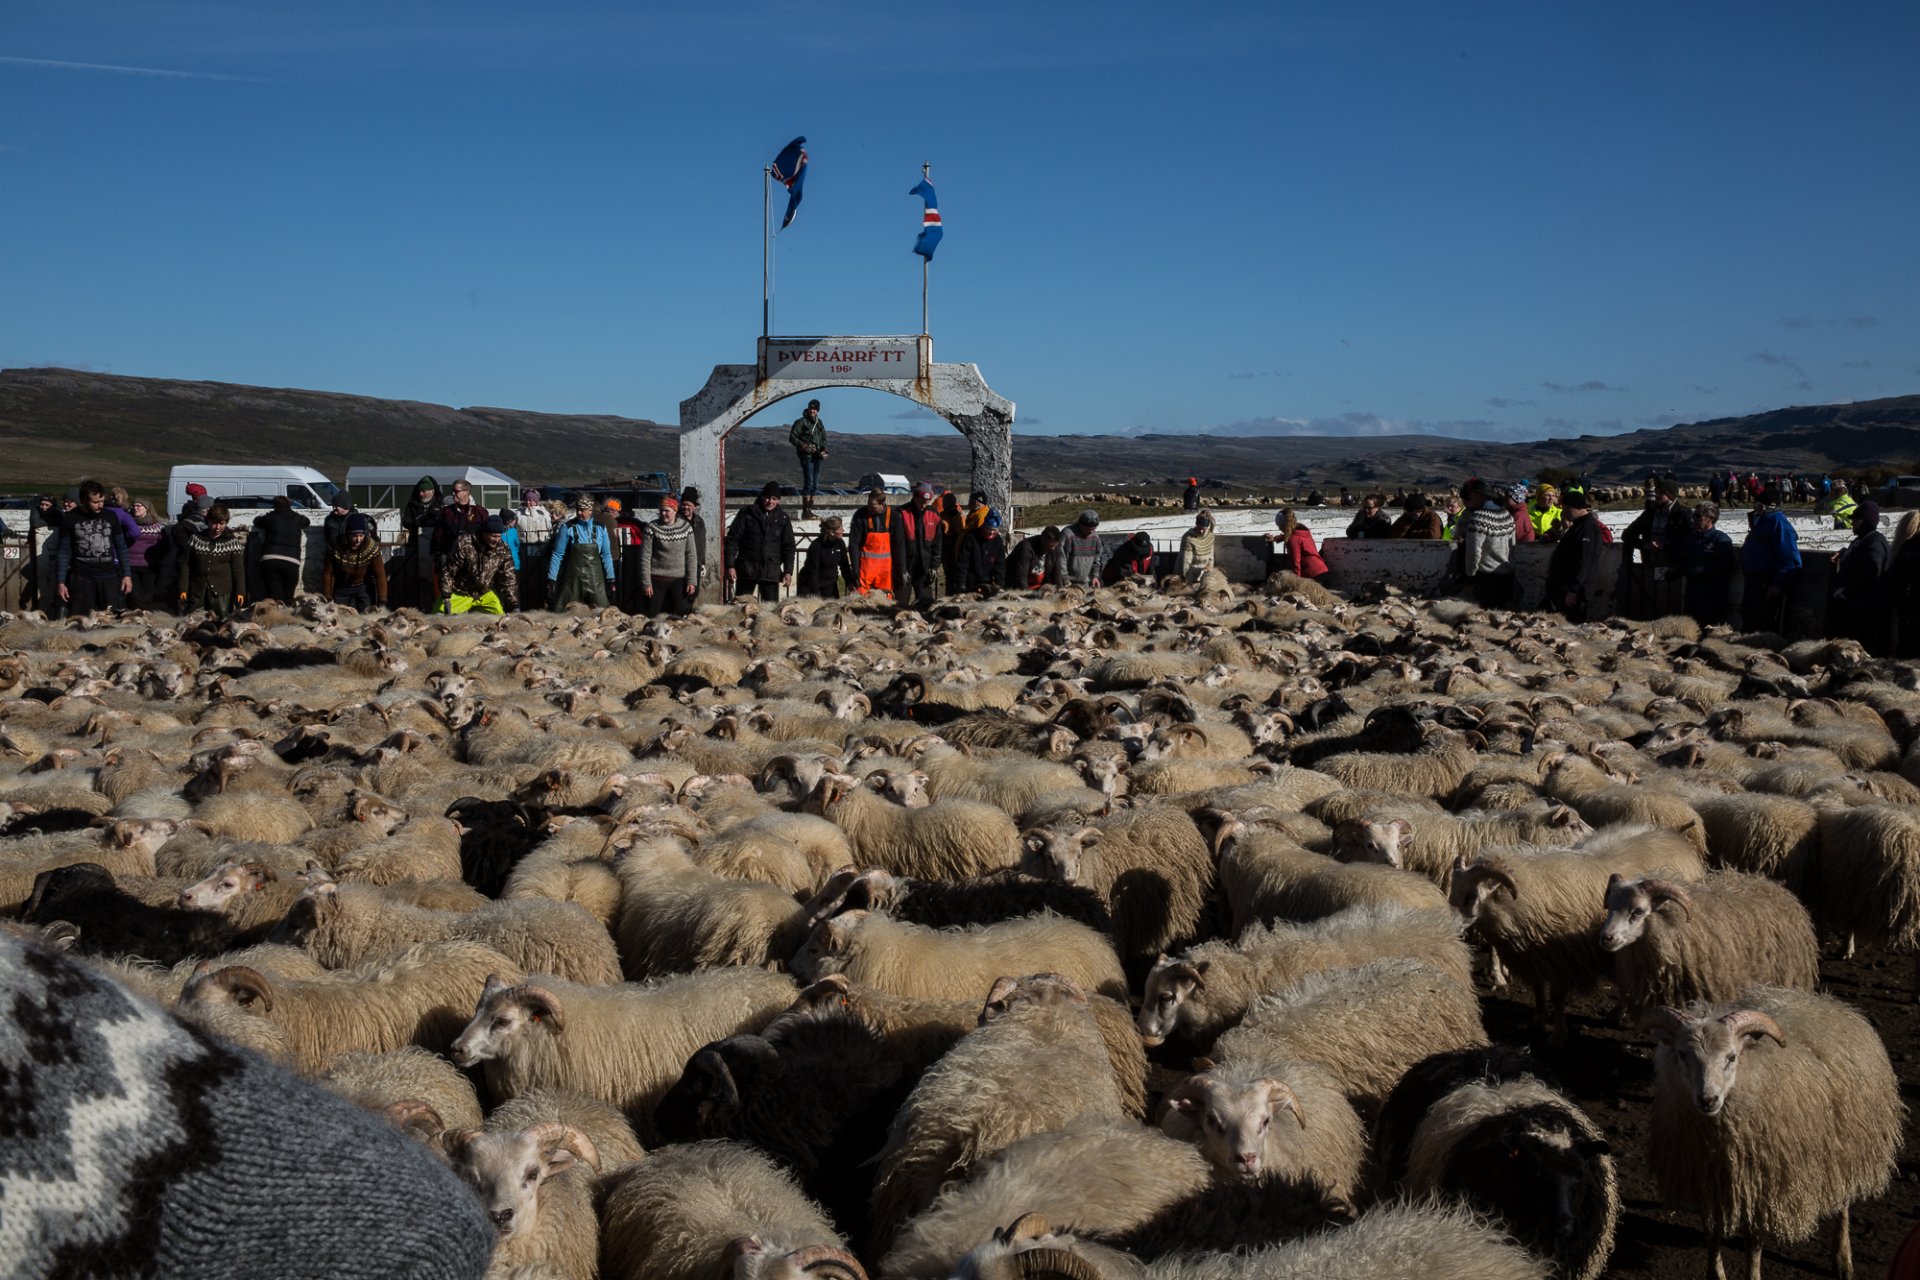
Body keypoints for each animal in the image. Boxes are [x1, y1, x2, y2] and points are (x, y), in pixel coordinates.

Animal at [1643, 990, 1896, 1280]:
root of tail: (1831, 1003)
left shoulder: (1761, 1185)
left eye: (1731, 1057)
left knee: (1843, 1202)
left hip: (1846, 1148)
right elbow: (1712, 1233)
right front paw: (1715, 1273)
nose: (1708, 1099)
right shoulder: (1709, 1181)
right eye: (1682, 1055)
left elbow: (1753, 1244)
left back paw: (1842, 1259)